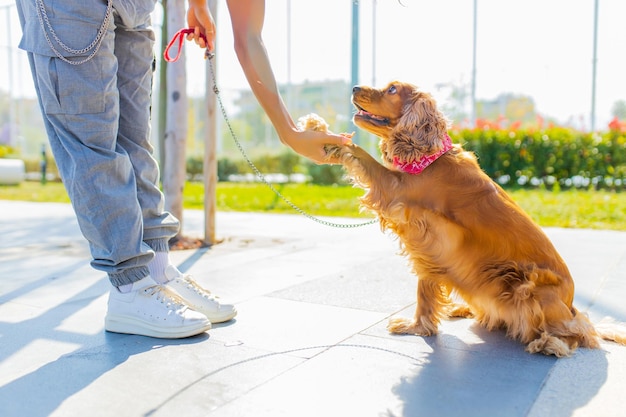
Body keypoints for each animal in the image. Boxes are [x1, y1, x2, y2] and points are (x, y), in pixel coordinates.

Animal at [298, 80, 624, 354]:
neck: (430, 158)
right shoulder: (423, 234)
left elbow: (360, 153)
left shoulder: (400, 195)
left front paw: (319, 128)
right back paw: (464, 309)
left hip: (528, 286)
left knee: (580, 334)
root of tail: (571, 307)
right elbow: (426, 285)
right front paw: (420, 326)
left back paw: (550, 343)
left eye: (392, 89)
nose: (354, 87)